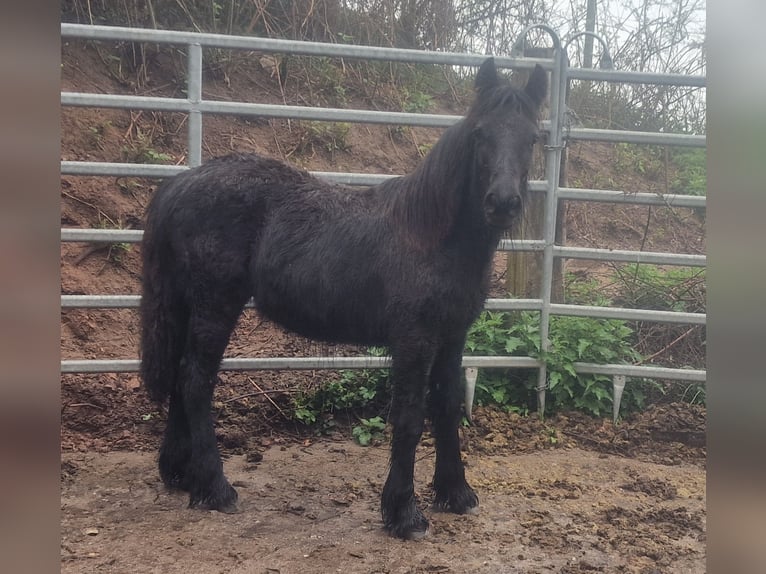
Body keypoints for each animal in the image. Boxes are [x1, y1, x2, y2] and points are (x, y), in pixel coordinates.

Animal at [139, 57, 547, 540]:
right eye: (481, 133)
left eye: (533, 138)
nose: (502, 203)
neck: (431, 237)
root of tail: (179, 184)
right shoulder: (414, 341)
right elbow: (410, 418)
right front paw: (404, 513)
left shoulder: (453, 337)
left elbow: (447, 407)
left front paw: (455, 493)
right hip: (214, 306)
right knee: (195, 380)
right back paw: (216, 488)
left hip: (189, 307)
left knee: (179, 378)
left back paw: (182, 475)